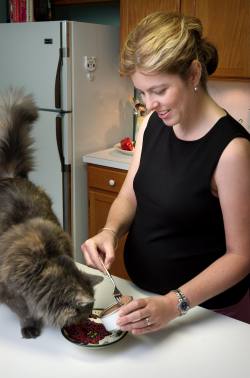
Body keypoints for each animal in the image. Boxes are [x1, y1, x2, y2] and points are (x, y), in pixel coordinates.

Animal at [0, 89, 102, 340]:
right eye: (85, 312)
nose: (89, 318)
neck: (44, 263)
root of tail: (11, 176)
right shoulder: (9, 292)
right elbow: (24, 311)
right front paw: (31, 326)